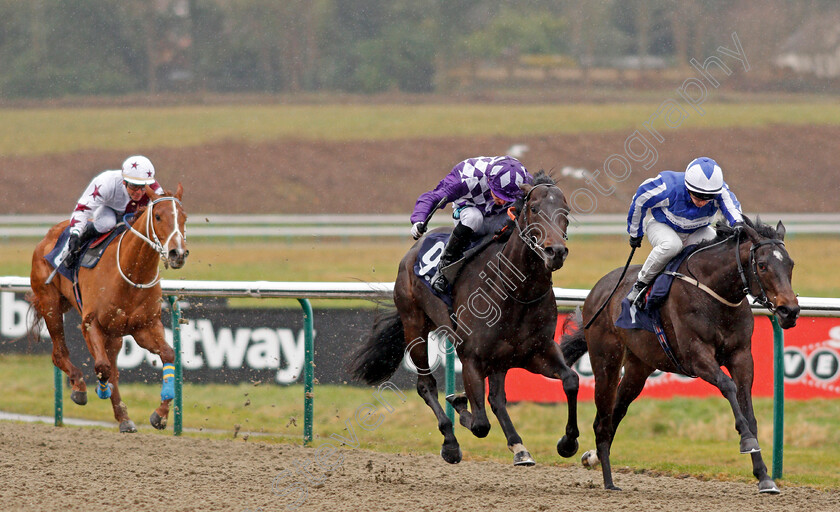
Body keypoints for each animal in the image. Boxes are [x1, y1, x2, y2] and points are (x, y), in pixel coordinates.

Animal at [29, 184, 189, 432]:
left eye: (184, 217)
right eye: (158, 216)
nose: (177, 253)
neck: (132, 273)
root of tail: (49, 235)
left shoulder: (145, 327)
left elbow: (168, 353)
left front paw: (160, 414)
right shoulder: (90, 323)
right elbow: (102, 366)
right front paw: (99, 389)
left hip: (114, 334)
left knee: (111, 368)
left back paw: (124, 418)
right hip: (50, 304)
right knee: (59, 354)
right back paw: (80, 387)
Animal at [348, 171, 576, 464]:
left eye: (566, 212)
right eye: (534, 209)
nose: (555, 252)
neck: (516, 291)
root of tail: (412, 253)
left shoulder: (536, 351)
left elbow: (571, 380)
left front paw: (568, 443)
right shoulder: (472, 359)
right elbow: (479, 424)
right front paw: (458, 403)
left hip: (500, 358)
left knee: (497, 399)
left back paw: (518, 446)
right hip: (414, 325)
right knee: (426, 385)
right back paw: (450, 442)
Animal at [560, 218, 796, 494]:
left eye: (790, 264)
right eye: (762, 265)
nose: (790, 311)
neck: (715, 293)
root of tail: (597, 289)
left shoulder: (741, 355)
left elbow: (747, 407)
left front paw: (764, 476)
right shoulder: (696, 355)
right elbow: (727, 386)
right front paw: (746, 439)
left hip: (639, 366)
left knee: (615, 412)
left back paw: (594, 458)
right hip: (606, 359)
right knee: (602, 417)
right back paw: (604, 478)